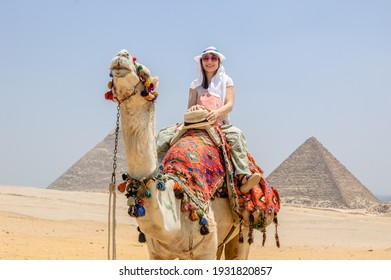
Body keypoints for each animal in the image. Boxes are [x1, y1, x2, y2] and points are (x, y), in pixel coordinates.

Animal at [108, 49, 278, 260]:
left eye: (144, 74)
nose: (121, 55)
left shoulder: (205, 249)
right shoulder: (157, 253)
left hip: (244, 228)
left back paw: (248, 179)